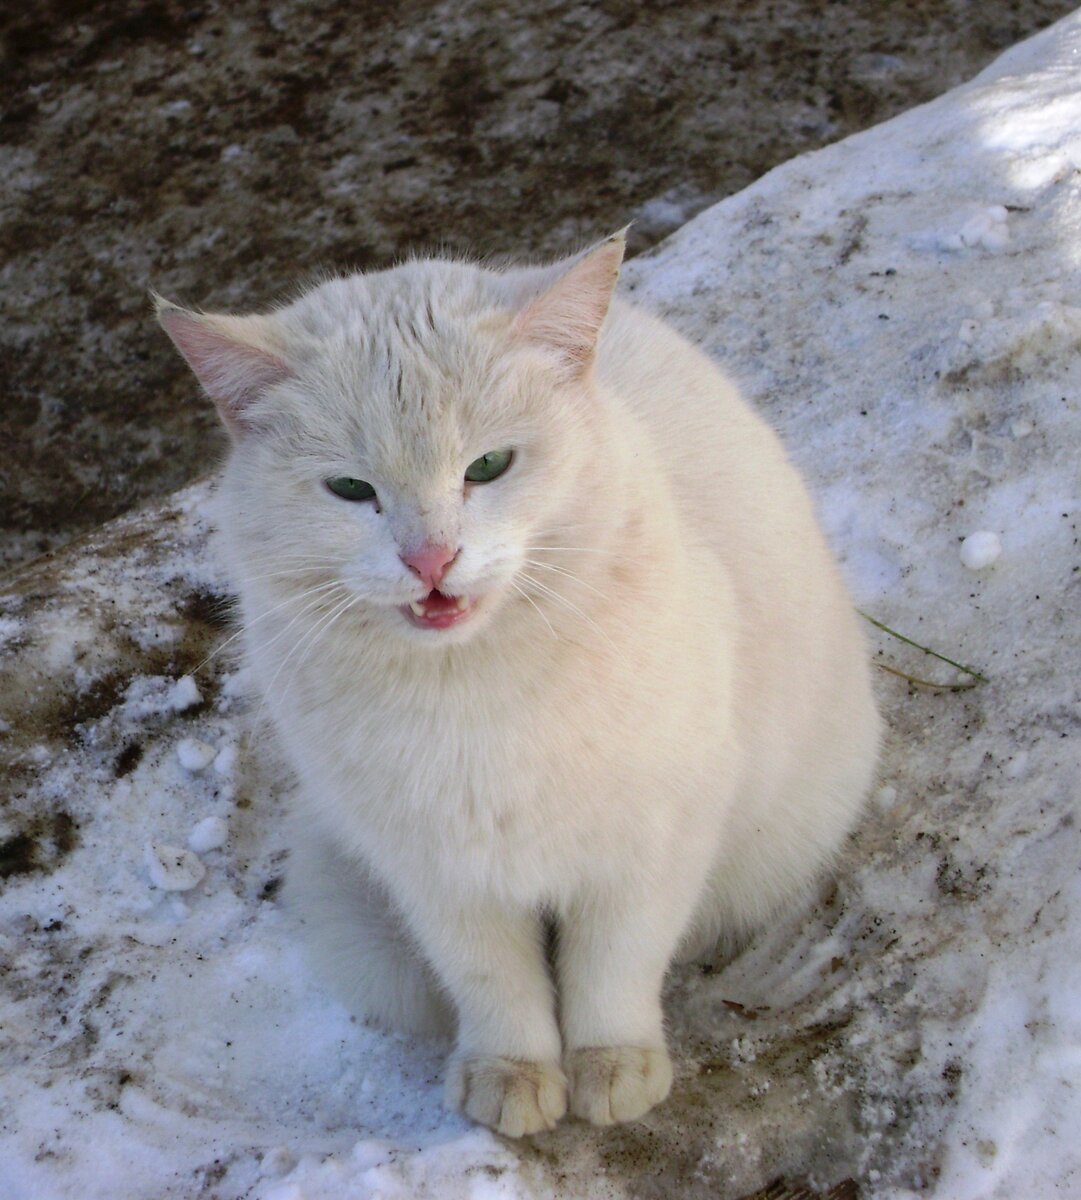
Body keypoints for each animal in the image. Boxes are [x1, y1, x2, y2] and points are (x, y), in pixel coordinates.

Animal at [158, 231, 878, 1132]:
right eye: (351, 489)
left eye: (489, 467)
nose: (430, 560)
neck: (471, 689)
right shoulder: (437, 874)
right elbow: (494, 982)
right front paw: (512, 1073)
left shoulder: (650, 847)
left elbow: (613, 966)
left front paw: (613, 1065)